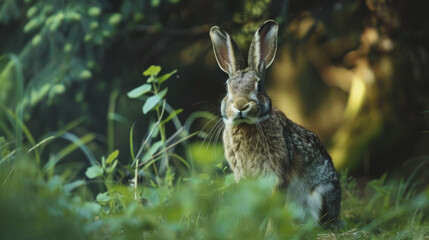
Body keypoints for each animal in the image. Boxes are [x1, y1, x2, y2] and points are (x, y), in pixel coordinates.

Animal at [209, 20, 340, 225]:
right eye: (227, 87)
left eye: (259, 85)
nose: (240, 105)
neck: (247, 124)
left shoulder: (278, 175)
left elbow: (273, 206)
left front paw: (268, 229)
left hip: (319, 195)